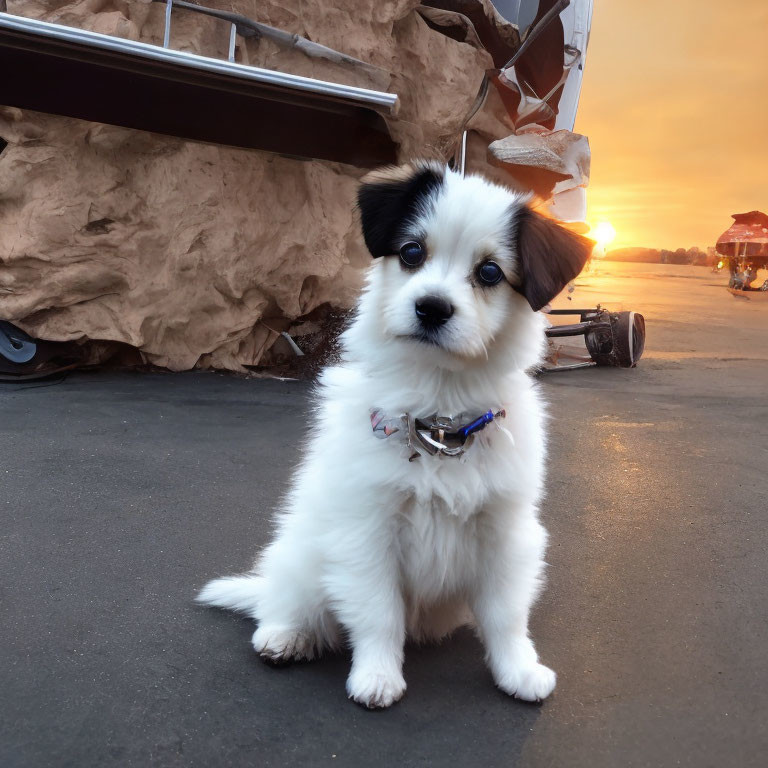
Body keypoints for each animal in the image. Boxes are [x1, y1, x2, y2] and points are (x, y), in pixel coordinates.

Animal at [196, 160, 588, 708]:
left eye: (490, 272)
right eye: (411, 252)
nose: (432, 307)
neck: (438, 420)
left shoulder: (505, 532)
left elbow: (507, 614)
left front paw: (517, 669)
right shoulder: (366, 531)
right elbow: (378, 612)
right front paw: (377, 676)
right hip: (303, 552)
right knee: (289, 599)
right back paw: (284, 634)